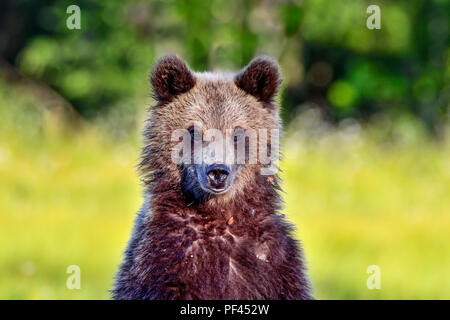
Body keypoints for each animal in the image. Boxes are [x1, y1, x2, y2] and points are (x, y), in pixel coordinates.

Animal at [113, 54, 312, 300]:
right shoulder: (161, 259)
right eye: (194, 131)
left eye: (238, 132)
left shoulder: (274, 262)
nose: (217, 171)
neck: (218, 214)